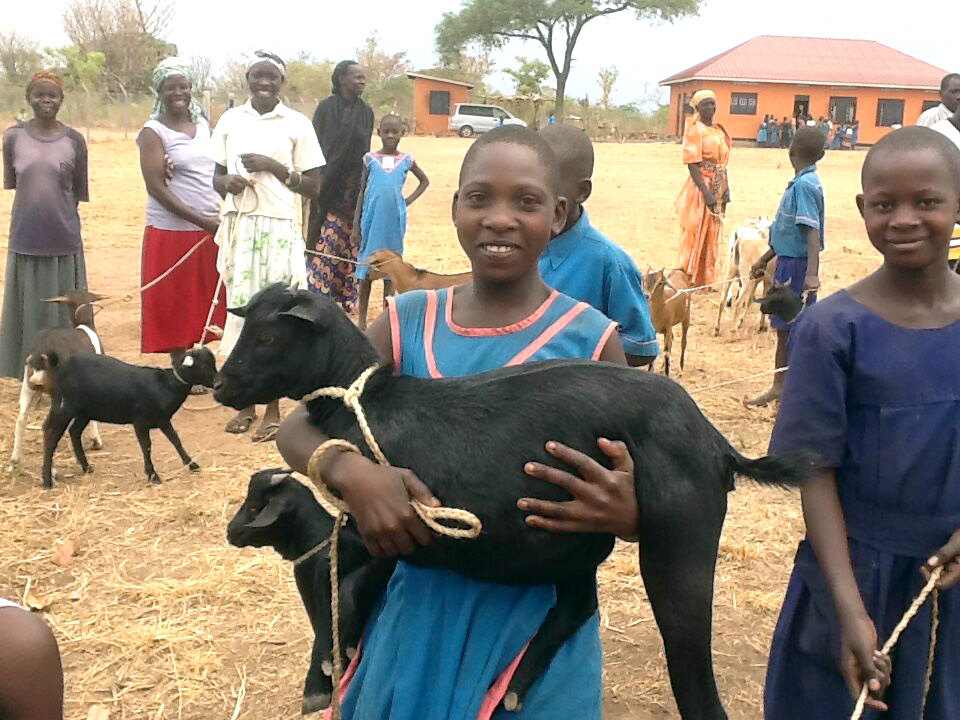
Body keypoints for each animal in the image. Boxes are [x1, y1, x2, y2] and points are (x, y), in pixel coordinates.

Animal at [10, 290, 105, 470]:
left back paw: (15, 459)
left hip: (29, 386)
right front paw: (96, 441)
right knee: (47, 426)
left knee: (21, 419)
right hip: (57, 394)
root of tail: (41, 351)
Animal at [44, 346, 216, 486]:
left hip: (85, 411)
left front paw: (192, 465)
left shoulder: (162, 419)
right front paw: (153, 475)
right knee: (51, 437)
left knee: (74, 432)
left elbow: (175, 440)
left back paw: (87, 468)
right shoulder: (140, 421)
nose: (217, 383)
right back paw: (47, 481)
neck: (167, 384)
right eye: (202, 365)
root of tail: (59, 367)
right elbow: (146, 446)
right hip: (66, 408)